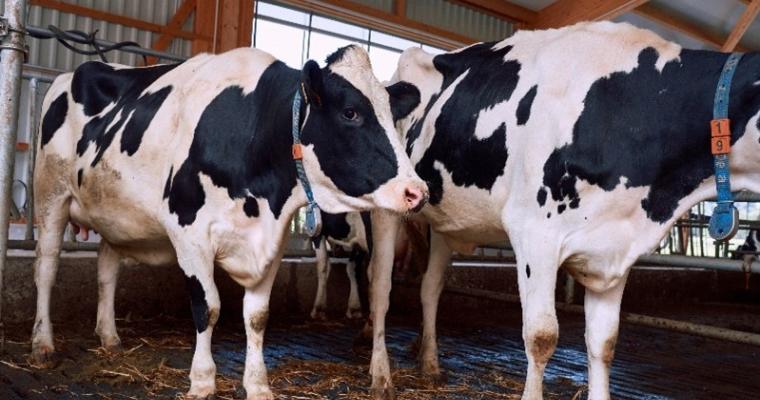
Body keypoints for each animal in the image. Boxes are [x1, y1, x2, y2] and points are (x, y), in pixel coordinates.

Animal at [30, 45, 428, 399]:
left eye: (392, 115)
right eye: (350, 113)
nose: (416, 191)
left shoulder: (272, 242)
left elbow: (257, 316)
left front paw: (258, 385)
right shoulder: (189, 234)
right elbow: (208, 307)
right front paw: (202, 382)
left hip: (114, 216)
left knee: (107, 271)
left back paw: (110, 336)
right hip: (50, 193)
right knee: (46, 269)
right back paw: (43, 343)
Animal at [363, 21, 760, 400]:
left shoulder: (613, 248)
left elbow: (604, 342)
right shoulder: (535, 235)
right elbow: (541, 336)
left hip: (448, 222)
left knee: (430, 286)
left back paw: (430, 363)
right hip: (387, 209)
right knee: (380, 285)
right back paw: (381, 376)